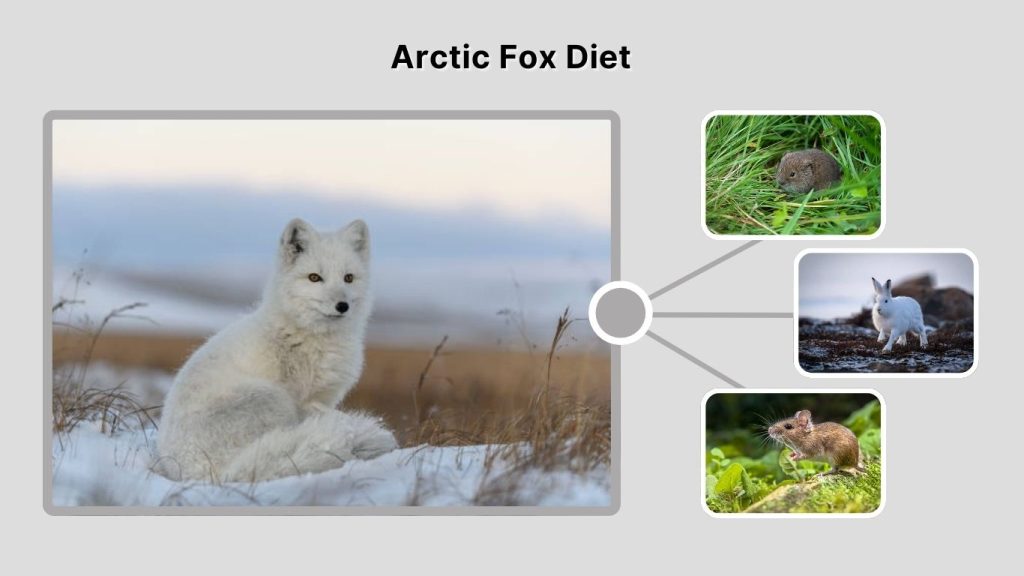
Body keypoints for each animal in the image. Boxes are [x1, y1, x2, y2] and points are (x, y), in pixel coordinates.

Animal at [154, 218, 398, 483]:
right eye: (314, 277)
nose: (342, 306)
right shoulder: (303, 399)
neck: (305, 335)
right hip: (272, 397)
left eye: (349, 278)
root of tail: (217, 473)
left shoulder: (323, 397)